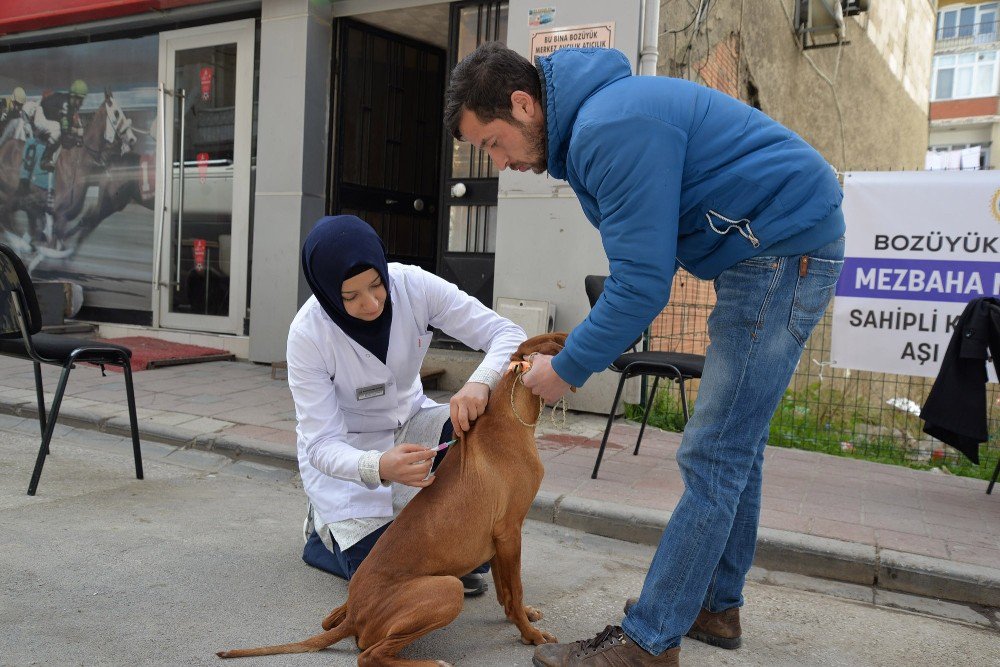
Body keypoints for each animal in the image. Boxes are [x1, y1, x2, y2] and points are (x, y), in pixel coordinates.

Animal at [217, 332, 572, 664]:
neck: (508, 415)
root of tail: (356, 614)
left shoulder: (500, 539)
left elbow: (506, 592)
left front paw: (524, 617)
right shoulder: (510, 532)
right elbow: (515, 591)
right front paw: (530, 634)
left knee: (332, 623)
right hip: (447, 588)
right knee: (368, 655)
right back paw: (433, 662)